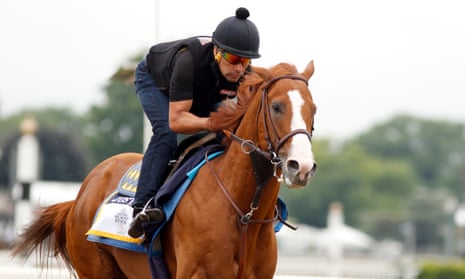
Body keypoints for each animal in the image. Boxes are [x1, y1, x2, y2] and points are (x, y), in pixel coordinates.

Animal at [12, 60, 318, 278]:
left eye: (313, 109)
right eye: (276, 106)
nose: (301, 166)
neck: (244, 212)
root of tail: (79, 196)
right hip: (95, 270)